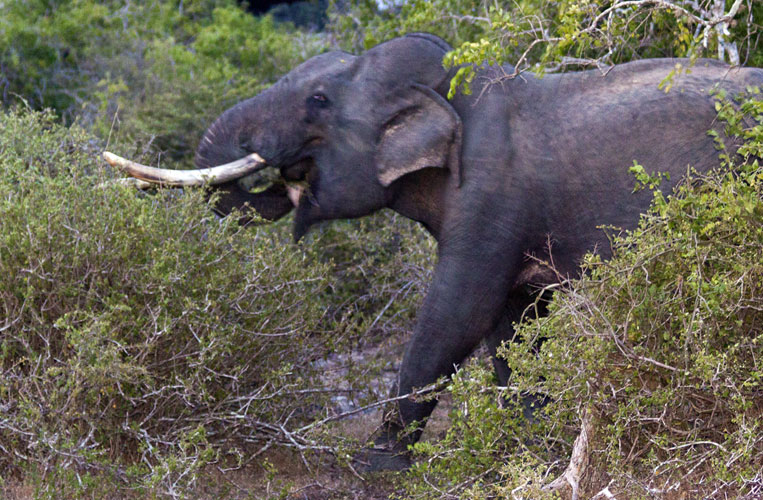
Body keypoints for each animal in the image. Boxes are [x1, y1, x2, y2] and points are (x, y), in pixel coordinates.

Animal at [110, 33, 760, 470]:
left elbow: (459, 313)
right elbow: (514, 324)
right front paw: (527, 448)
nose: (284, 175)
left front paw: (374, 466)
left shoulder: (492, 195)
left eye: (318, 100)